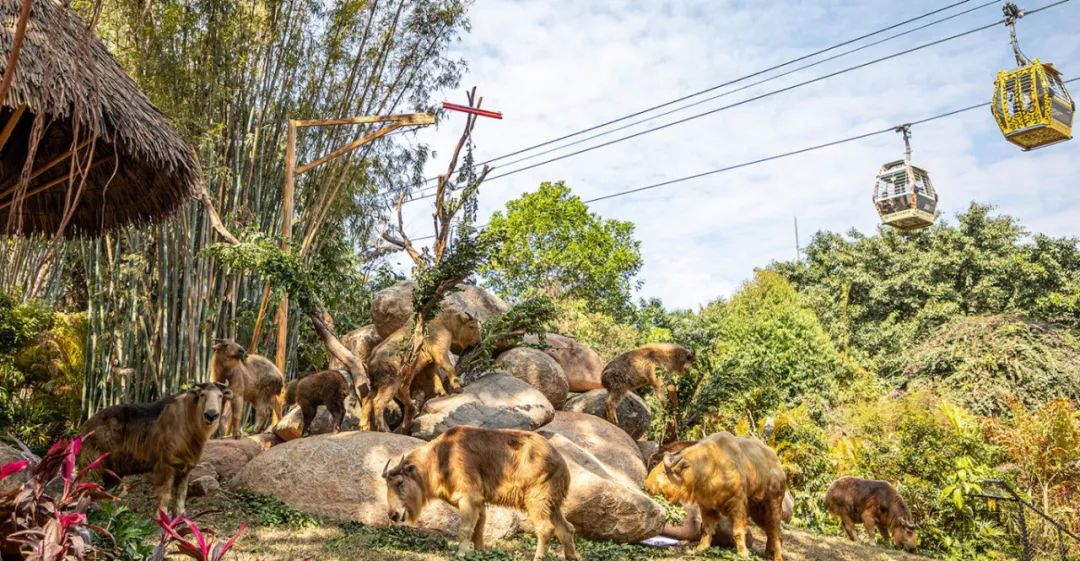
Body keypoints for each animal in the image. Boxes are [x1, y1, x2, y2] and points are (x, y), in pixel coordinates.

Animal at [79, 380, 232, 516]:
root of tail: (86, 425)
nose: (211, 415)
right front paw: (161, 518)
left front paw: (180, 517)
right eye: (202, 395)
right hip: (92, 466)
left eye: (220, 395)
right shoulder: (166, 465)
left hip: (112, 473)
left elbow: (181, 494)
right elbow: (165, 494)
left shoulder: (186, 468)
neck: (188, 420)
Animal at [382, 425, 578, 561]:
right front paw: (479, 552)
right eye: (387, 485)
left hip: (537, 501)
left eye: (399, 483)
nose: (393, 514)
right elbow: (478, 529)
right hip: (553, 504)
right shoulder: (480, 503)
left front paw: (460, 554)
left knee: (546, 529)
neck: (441, 458)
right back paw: (571, 557)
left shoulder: (469, 499)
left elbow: (465, 530)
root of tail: (561, 462)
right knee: (566, 529)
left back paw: (538, 557)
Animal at [656, 432, 786, 557]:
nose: (651, 488)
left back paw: (777, 557)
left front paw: (743, 554)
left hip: (774, 504)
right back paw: (768, 553)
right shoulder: (707, 506)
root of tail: (778, 463)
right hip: (757, 511)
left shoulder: (737, 504)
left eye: (664, 472)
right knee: (770, 531)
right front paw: (700, 549)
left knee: (777, 533)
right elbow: (706, 529)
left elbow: (738, 531)